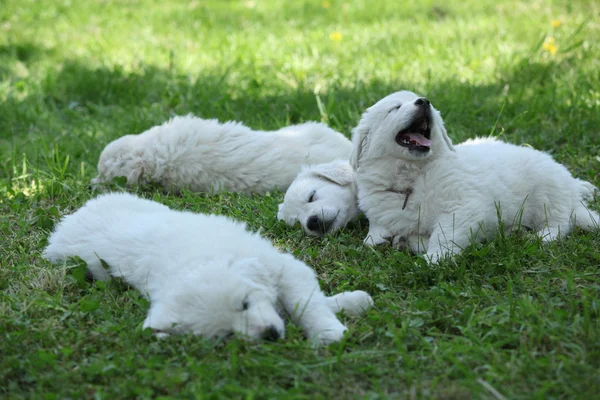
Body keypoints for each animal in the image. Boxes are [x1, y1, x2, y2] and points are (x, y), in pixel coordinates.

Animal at [42, 193, 372, 344]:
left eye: (245, 303)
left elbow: (307, 303)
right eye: (226, 335)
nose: (269, 335)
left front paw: (332, 328)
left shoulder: (282, 267)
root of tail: (66, 223)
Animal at [350, 91, 596, 266]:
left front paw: (435, 257)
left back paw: (540, 236)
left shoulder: (464, 205)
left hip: (547, 193)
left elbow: (444, 232)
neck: (412, 177)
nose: (425, 102)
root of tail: (572, 193)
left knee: (559, 223)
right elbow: (381, 227)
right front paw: (382, 237)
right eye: (395, 108)